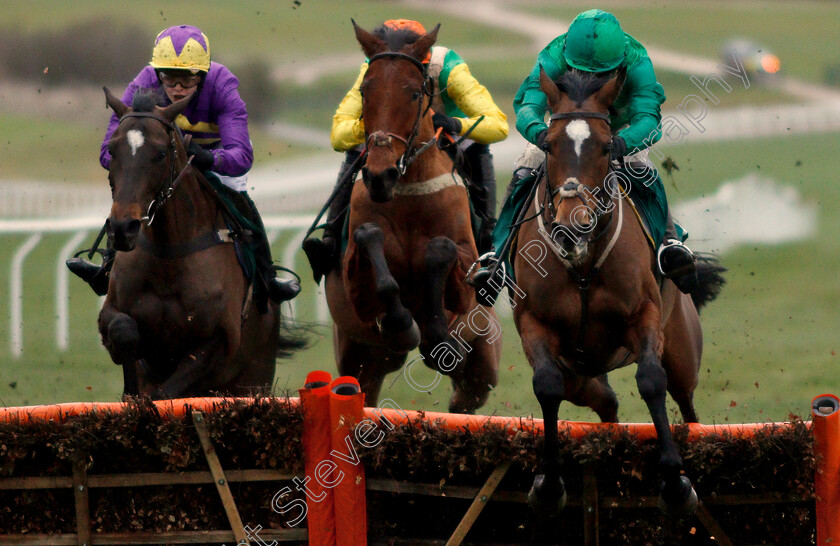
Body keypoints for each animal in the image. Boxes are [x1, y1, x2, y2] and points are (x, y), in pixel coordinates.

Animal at [99, 87, 296, 398]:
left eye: (161, 154)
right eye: (111, 150)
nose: (122, 228)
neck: (169, 255)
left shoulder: (219, 344)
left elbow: (165, 395)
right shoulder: (112, 313)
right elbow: (123, 329)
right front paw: (130, 391)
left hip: (255, 376)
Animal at [324, 22, 502, 412]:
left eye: (414, 92)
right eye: (365, 90)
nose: (380, 175)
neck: (407, 192)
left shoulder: (464, 275)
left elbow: (440, 249)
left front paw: (435, 335)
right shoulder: (353, 286)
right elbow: (370, 241)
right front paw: (402, 322)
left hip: (483, 354)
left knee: (466, 393)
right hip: (359, 357)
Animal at [508, 70, 724, 516]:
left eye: (607, 146)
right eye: (549, 145)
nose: (571, 228)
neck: (582, 264)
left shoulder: (644, 316)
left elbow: (651, 381)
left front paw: (675, 482)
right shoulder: (534, 324)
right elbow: (546, 386)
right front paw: (549, 482)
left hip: (683, 350)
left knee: (686, 404)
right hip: (581, 373)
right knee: (604, 401)